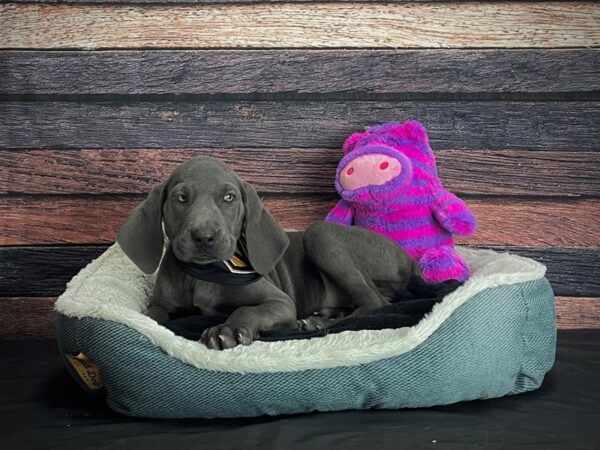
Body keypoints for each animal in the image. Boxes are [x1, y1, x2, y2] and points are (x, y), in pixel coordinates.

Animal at [117, 156, 460, 350]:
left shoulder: (280, 302)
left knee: (373, 304)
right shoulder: (161, 304)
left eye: (228, 197)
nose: (205, 237)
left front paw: (226, 330)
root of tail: (408, 258)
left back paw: (315, 325)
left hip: (321, 234)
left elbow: (246, 310)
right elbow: (152, 315)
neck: (205, 275)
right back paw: (323, 316)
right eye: (181, 198)